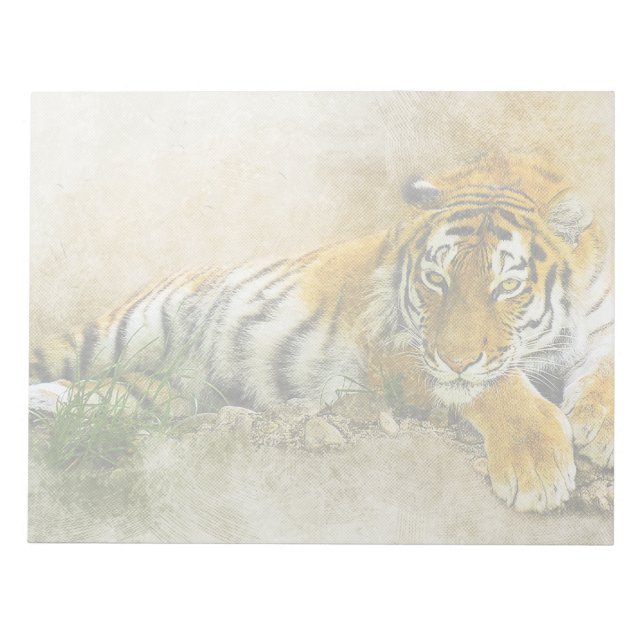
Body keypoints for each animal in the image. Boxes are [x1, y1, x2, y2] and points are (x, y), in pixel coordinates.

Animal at [29, 153, 614, 513]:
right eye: (436, 280)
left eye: (507, 286)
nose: (455, 358)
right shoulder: (397, 348)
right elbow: (496, 387)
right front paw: (538, 468)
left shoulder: (605, 321)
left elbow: (607, 366)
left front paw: (600, 430)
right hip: (119, 333)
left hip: (163, 393)